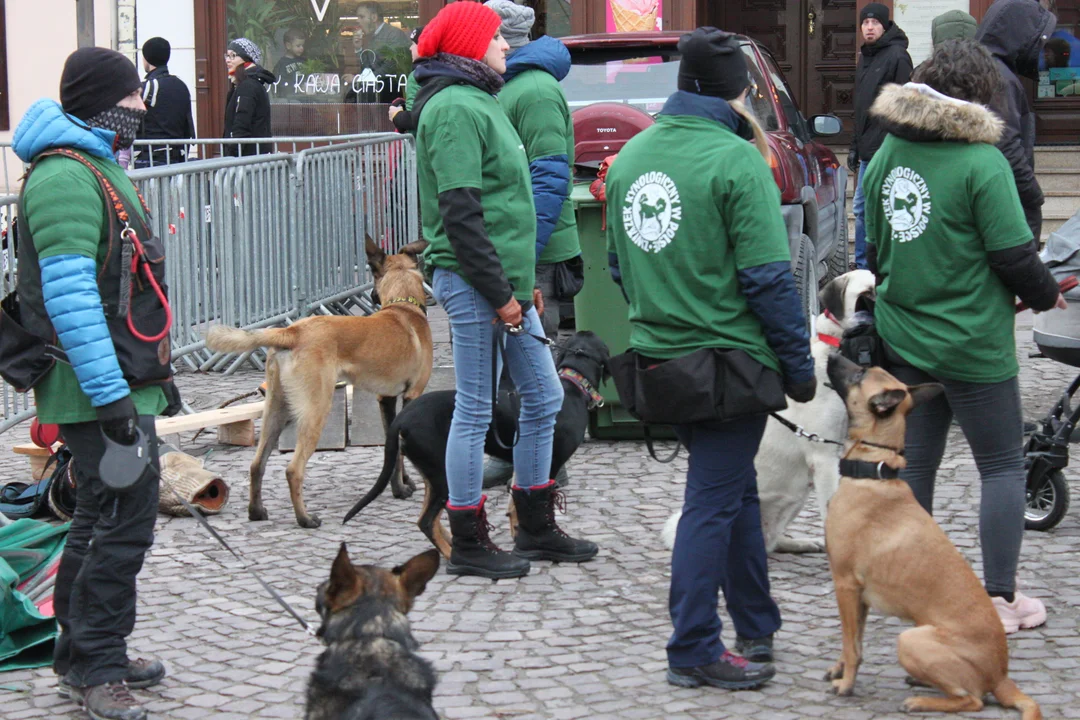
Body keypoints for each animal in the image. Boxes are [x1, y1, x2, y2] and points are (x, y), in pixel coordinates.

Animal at [205, 239, 429, 526]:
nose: (372, 297)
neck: (405, 307)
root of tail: (291, 332)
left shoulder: (385, 400)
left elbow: (393, 453)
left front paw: (400, 486)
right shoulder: (411, 395)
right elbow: (399, 451)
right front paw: (403, 488)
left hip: (276, 412)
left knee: (257, 464)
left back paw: (256, 511)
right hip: (316, 411)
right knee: (293, 470)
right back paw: (305, 519)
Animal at [339, 332, 609, 557]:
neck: (573, 386)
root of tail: (402, 419)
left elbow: (516, 504)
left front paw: (520, 536)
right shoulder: (549, 462)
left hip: (432, 472)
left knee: (428, 518)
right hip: (442, 474)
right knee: (426, 521)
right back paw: (452, 556)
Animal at [820, 356, 1041, 720]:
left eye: (860, 373)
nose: (832, 355)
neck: (874, 466)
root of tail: (1001, 675)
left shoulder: (846, 586)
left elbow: (852, 646)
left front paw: (847, 684)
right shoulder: (858, 598)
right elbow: (854, 642)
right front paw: (840, 670)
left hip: (911, 640)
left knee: (973, 699)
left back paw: (922, 701)